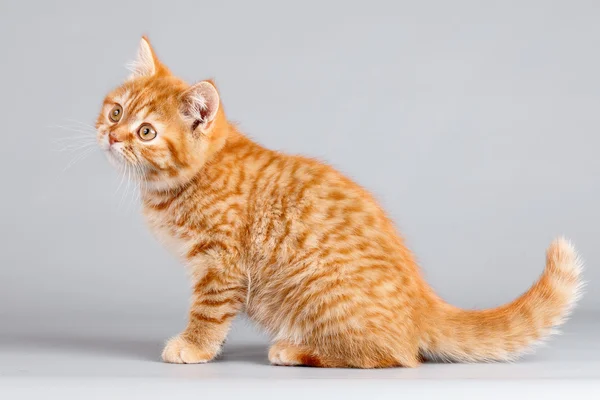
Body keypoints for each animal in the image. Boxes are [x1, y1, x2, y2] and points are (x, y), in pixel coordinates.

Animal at [96, 37, 584, 368]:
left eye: (146, 132)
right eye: (116, 111)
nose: (113, 136)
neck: (185, 179)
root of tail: (423, 303)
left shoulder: (222, 263)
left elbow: (209, 309)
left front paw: (194, 345)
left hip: (318, 292)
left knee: (395, 356)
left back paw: (296, 350)